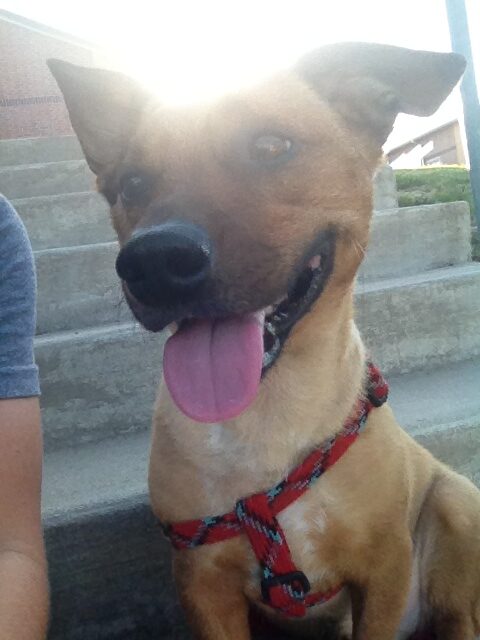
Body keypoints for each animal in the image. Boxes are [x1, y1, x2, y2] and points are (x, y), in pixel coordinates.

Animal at [49, 42, 480, 636]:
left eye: (270, 146)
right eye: (131, 183)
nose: (154, 261)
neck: (267, 417)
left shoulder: (385, 569)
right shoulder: (204, 583)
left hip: (458, 504)